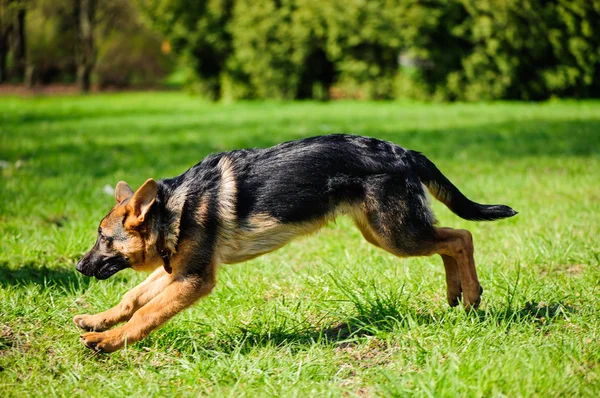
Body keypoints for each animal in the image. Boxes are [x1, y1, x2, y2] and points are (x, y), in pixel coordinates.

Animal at [74, 134, 516, 352]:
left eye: (103, 238)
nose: (78, 266)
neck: (176, 208)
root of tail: (404, 152)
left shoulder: (194, 280)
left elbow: (146, 316)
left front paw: (106, 342)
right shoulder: (179, 272)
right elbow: (132, 298)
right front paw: (97, 321)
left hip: (397, 235)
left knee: (461, 237)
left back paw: (471, 293)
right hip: (385, 233)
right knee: (449, 242)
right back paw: (456, 293)